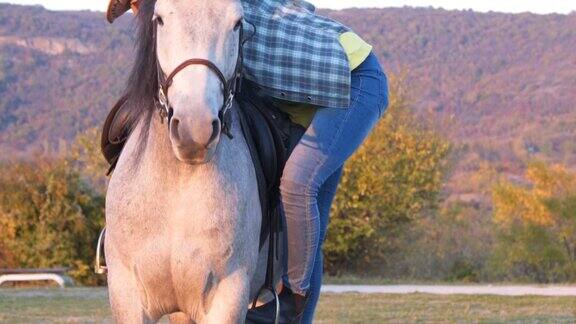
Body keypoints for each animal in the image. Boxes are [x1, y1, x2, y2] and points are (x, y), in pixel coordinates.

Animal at [105, 1, 276, 322]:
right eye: (159, 20)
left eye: (237, 24)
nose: (195, 129)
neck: (178, 183)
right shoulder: (128, 294)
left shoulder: (228, 296)